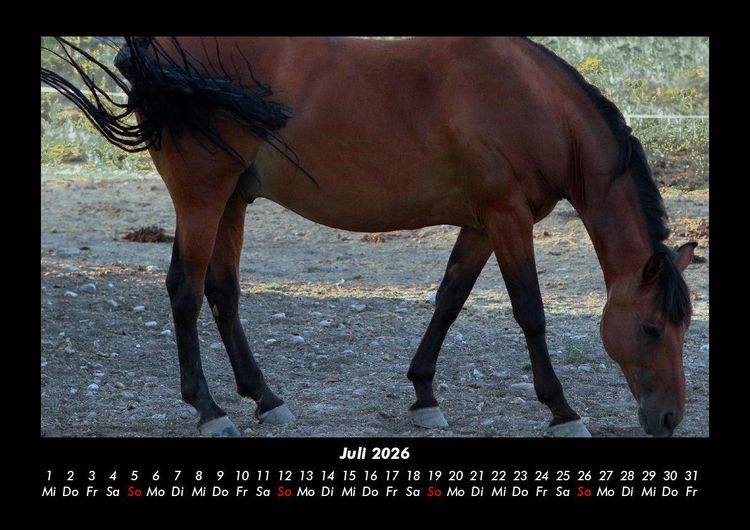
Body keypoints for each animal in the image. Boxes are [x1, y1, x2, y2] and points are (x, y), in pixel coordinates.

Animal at [41, 36, 697, 437]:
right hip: (202, 198)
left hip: (231, 201)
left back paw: (266, 398)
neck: (531, 102)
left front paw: (424, 395)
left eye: (683, 327)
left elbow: (449, 301)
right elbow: (530, 313)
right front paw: (561, 409)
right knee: (185, 290)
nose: (668, 420)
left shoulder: (481, 224)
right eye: (650, 328)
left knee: (222, 293)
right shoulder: (507, 218)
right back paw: (210, 410)